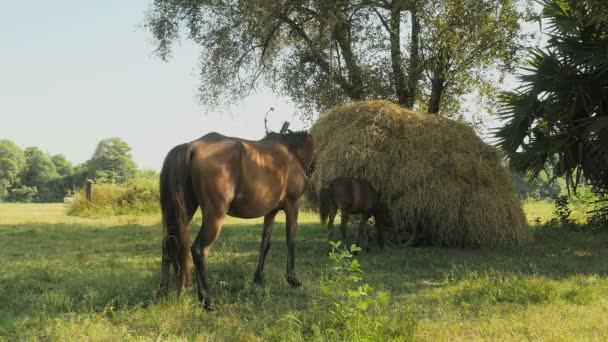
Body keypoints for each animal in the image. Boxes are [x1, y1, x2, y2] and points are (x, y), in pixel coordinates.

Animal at [159, 130, 316, 310]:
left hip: (182, 211)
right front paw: (293, 279)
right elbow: (291, 241)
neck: (292, 154)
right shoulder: (293, 204)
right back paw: (207, 301)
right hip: (214, 215)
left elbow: (265, 244)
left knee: (168, 245)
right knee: (198, 250)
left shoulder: (270, 212)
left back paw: (162, 295)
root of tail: (192, 146)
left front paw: (258, 277)